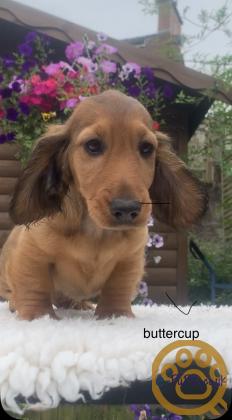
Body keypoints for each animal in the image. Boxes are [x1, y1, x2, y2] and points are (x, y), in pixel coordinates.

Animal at [0, 89, 208, 318]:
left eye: (146, 148)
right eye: (93, 145)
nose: (127, 209)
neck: (95, 232)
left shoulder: (129, 260)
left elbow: (118, 286)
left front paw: (114, 315)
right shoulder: (31, 253)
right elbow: (34, 286)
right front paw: (39, 315)